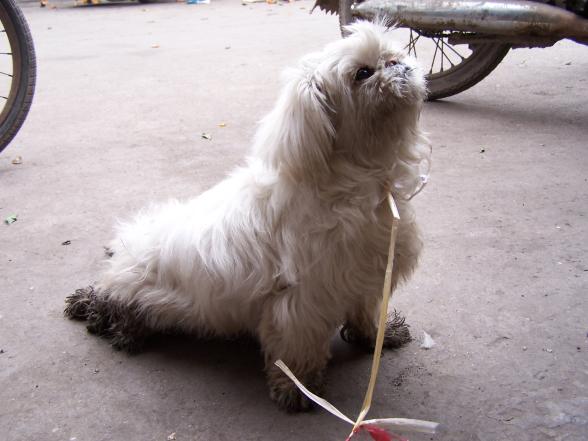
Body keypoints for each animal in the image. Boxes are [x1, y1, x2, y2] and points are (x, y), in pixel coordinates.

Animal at [65, 21, 430, 412]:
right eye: (363, 73)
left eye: (393, 55)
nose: (398, 65)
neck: (358, 184)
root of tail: (124, 252)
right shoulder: (304, 299)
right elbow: (298, 347)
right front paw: (298, 387)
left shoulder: (365, 276)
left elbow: (366, 314)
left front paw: (377, 335)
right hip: (145, 290)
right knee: (115, 301)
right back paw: (117, 323)